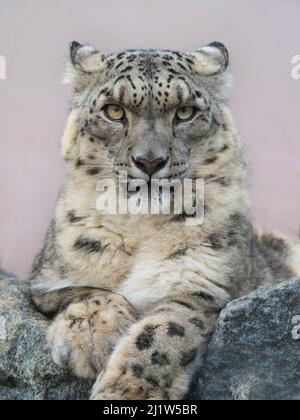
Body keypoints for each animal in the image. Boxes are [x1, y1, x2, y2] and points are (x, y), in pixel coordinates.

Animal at [29, 41, 300, 400]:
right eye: (114, 110)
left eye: (185, 112)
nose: (149, 161)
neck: (140, 227)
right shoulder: (45, 277)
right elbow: (83, 289)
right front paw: (91, 334)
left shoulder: (205, 284)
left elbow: (164, 331)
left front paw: (128, 390)